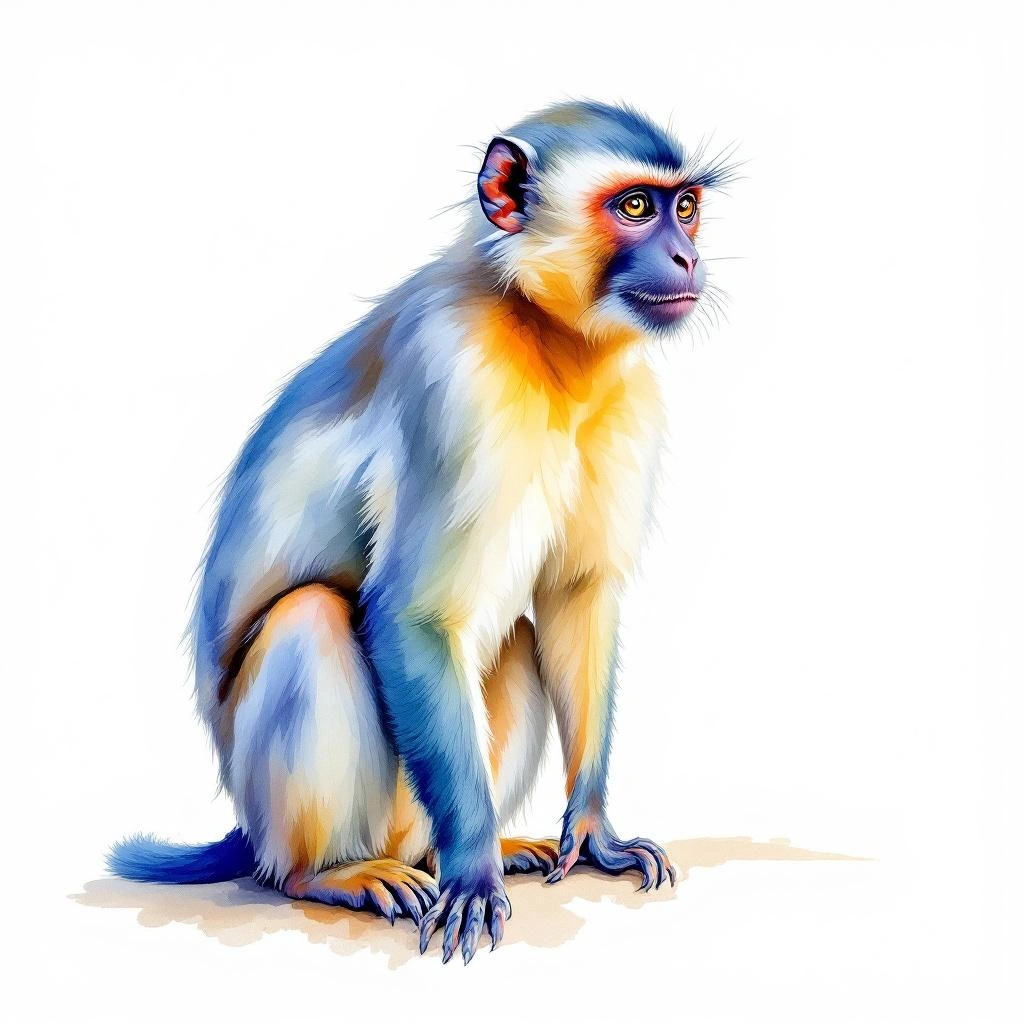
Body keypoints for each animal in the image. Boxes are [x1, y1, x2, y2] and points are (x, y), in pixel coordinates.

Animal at [109, 101, 732, 964]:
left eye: (688, 207)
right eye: (637, 206)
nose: (685, 254)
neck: (548, 341)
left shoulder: (629, 390)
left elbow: (575, 597)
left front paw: (594, 833)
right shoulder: (457, 378)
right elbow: (411, 614)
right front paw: (472, 872)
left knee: (516, 641)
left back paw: (468, 850)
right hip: (293, 804)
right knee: (312, 618)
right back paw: (333, 873)